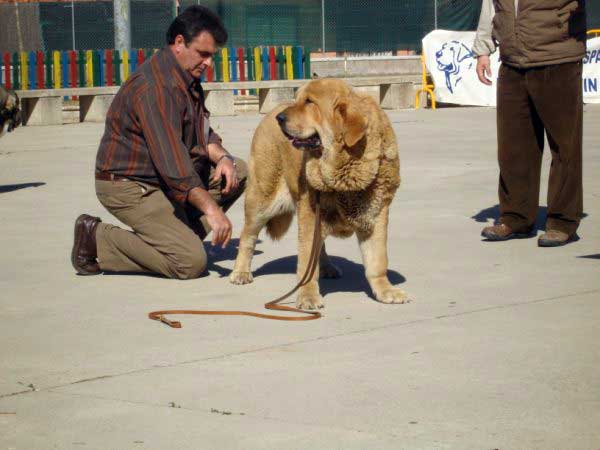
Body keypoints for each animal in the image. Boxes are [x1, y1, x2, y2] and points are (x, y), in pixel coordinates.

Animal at [231, 78, 408, 310]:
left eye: (309, 102)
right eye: (298, 99)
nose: (280, 119)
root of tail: (270, 113)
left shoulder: (376, 214)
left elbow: (378, 261)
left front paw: (385, 290)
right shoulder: (309, 213)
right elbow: (306, 260)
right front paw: (307, 295)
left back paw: (326, 267)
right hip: (261, 201)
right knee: (247, 237)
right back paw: (240, 272)